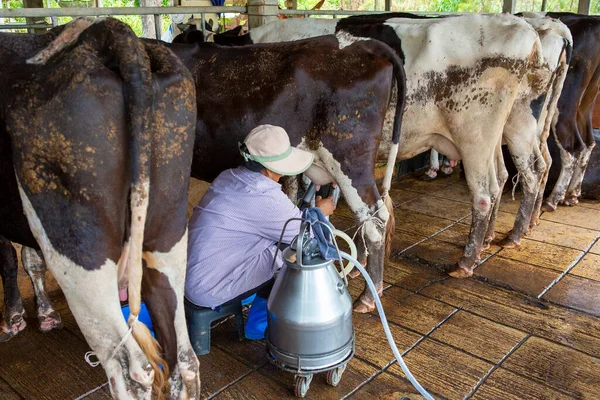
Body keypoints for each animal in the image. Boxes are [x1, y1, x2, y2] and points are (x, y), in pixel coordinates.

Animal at [0, 19, 202, 400]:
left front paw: (15, 318)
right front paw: (44, 314)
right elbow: (30, 258)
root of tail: (107, 32)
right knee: (184, 358)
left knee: (130, 368)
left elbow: (10, 258)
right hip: (168, 234)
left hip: (78, 250)